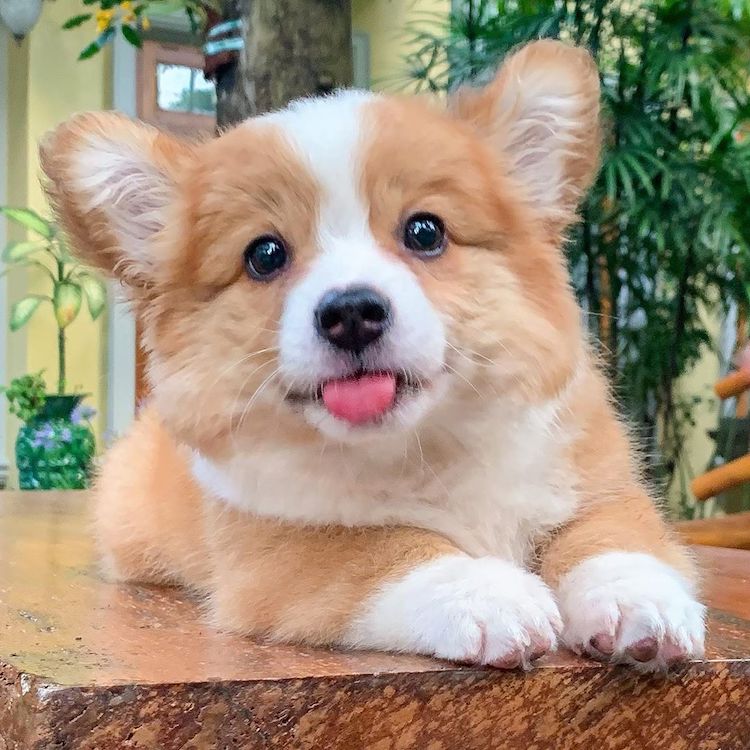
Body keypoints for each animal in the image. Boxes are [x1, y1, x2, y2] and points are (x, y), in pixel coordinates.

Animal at [44, 41, 708, 672]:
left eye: (425, 231)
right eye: (264, 255)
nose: (352, 312)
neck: (422, 446)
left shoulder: (597, 484)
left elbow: (613, 536)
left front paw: (636, 597)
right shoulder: (278, 547)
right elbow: (388, 549)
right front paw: (487, 593)